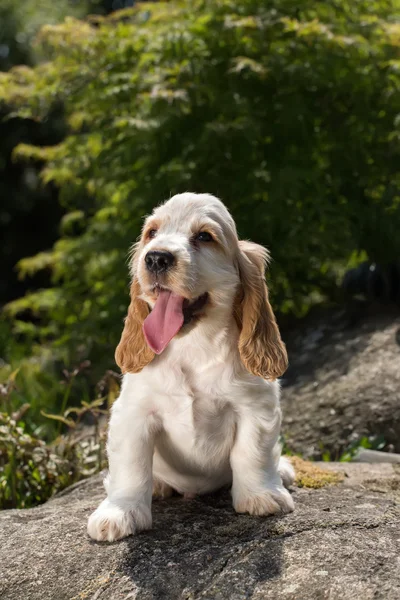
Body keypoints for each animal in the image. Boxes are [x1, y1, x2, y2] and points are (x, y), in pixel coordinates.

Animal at [87, 193, 294, 544]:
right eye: (151, 233)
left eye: (204, 237)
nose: (156, 258)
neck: (192, 347)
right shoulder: (133, 413)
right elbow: (130, 467)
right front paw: (119, 513)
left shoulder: (256, 406)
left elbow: (252, 453)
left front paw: (261, 495)